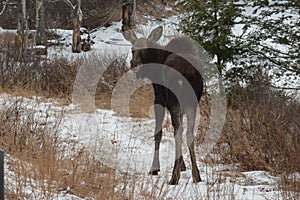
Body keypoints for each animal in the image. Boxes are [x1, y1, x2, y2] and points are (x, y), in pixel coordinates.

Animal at [122, 26, 204, 184]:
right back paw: (196, 175)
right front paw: (183, 166)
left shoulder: (158, 101)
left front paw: (154, 168)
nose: (134, 65)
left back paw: (174, 176)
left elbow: (157, 133)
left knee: (178, 132)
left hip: (174, 101)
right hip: (192, 104)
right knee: (188, 133)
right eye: (132, 49)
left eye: (146, 49)